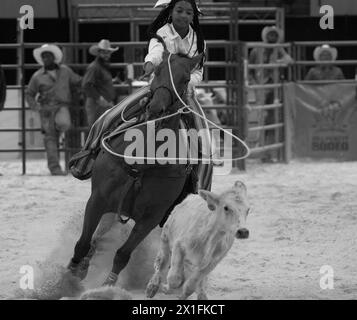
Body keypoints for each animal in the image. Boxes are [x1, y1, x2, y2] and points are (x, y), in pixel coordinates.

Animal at [66, 50, 211, 288]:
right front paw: (71, 273)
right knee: (97, 236)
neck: (143, 160)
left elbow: (123, 254)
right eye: (157, 71)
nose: (156, 108)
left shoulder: (150, 218)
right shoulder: (97, 200)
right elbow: (83, 242)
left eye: (186, 79)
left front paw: (108, 285)